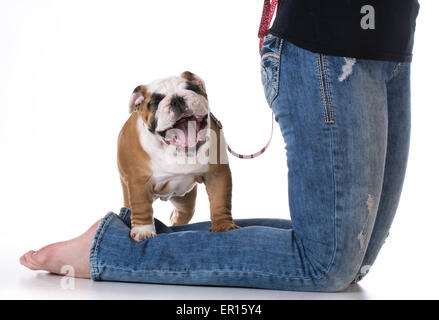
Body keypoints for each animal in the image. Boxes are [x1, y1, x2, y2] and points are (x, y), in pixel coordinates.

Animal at [118, 70, 239, 240]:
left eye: (191, 89)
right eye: (155, 102)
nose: (176, 99)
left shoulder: (217, 173)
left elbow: (220, 201)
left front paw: (223, 225)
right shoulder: (138, 181)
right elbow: (141, 207)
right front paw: (144, 231)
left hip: (185, 201)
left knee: (179, 216)